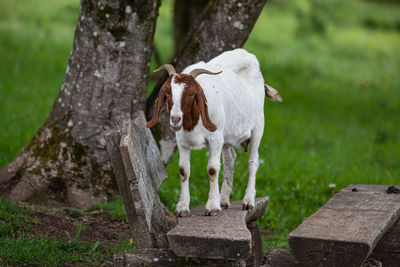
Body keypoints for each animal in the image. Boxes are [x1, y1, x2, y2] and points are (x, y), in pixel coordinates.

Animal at [145, 48, 280, 218]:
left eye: (192, 93)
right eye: (168, 93)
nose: (175, 119)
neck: (193, 122)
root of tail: (248, 55)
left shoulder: (215, 139)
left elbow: (212, 170)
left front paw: (212, 207)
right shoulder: (182, 141)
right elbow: (183, 171)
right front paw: (182, 208)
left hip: (258, 125)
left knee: (253, 161)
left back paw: (248, 201)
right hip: (227, 135)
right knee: (229, 161)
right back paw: (224, 199)